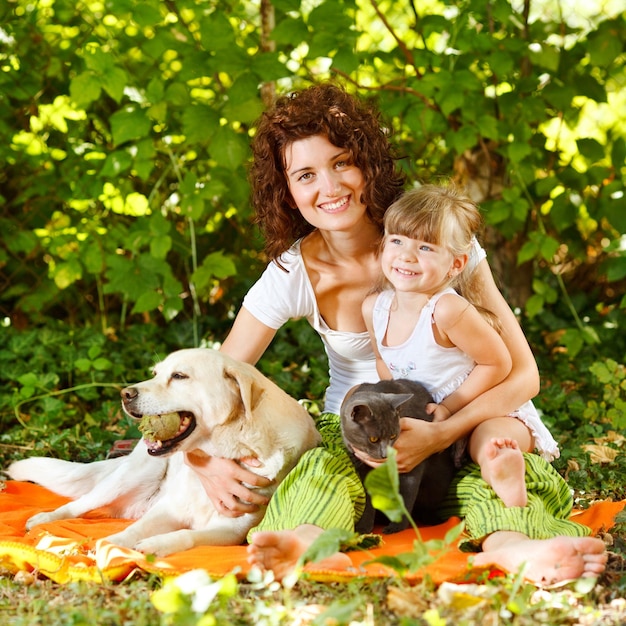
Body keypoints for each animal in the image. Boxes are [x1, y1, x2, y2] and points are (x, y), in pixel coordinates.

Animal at [9, 348, 320, 552]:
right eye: (156, 374)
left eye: (179, 376)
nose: (125, 394)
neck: (225, 450)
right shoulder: (168, 509)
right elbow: (134, 530)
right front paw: (113, 543)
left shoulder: (230, 531)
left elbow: (186, 536)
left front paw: (154, 545)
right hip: (130, 477)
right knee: (79, 504)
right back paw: (44, 518)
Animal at [342, 376, 454, 532]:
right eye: (373, 439)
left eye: (393, 436)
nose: (385, 454)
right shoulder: (362, 468)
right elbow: (369, 499)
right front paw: (364, 528)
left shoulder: (414, 462)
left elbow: (406, 496)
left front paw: (396, 528)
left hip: (438, 482)